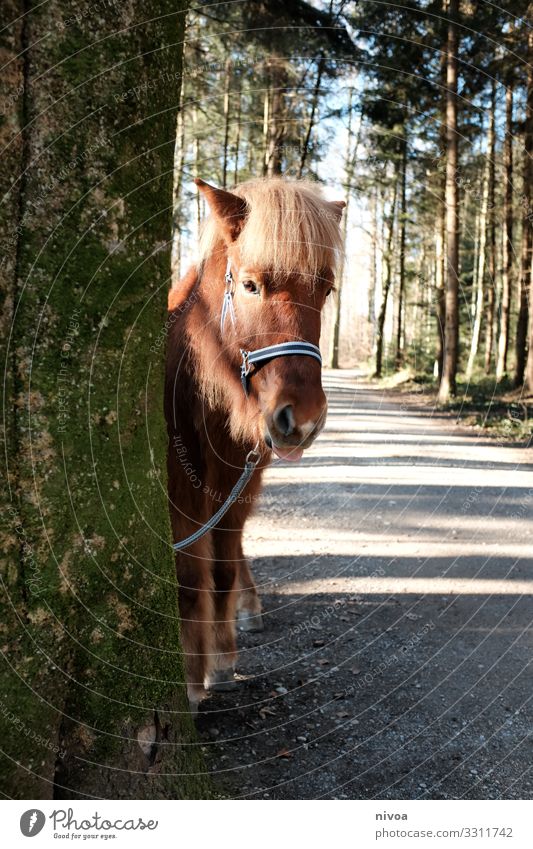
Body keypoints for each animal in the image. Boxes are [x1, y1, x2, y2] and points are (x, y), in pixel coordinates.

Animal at [164, 177, 342, 708]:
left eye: (326, 289)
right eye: (249, 285)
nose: (301, 417)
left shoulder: (235, 492)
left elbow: (221, 571)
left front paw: (220, 660)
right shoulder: (179, 499)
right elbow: (188, 580)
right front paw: (189, 677)